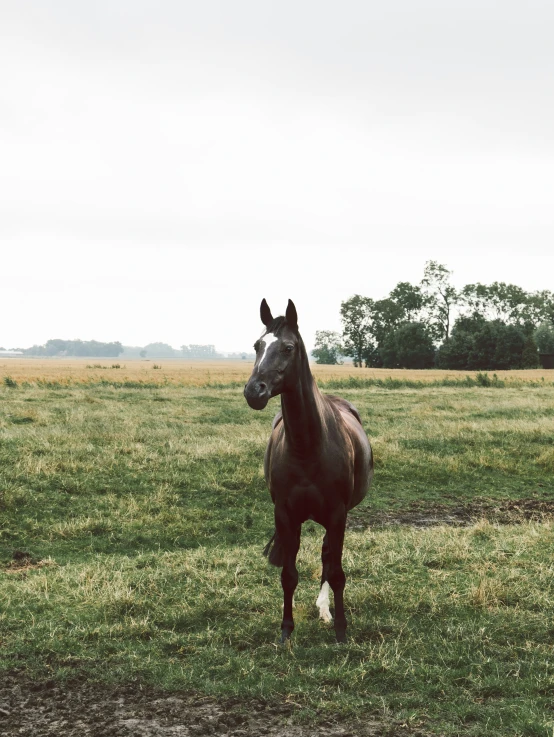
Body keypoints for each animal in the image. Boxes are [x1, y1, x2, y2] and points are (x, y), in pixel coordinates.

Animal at [242, 300, 370, 644]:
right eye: (257, 345)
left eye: (287, 348)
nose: (253, 391)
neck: (308, 446)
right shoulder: (285, 515)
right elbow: (288, 575)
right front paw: (286, 630)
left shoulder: (338, 515)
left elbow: (336, 572)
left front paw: (341, 630)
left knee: (327, 559)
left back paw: (325, 611)